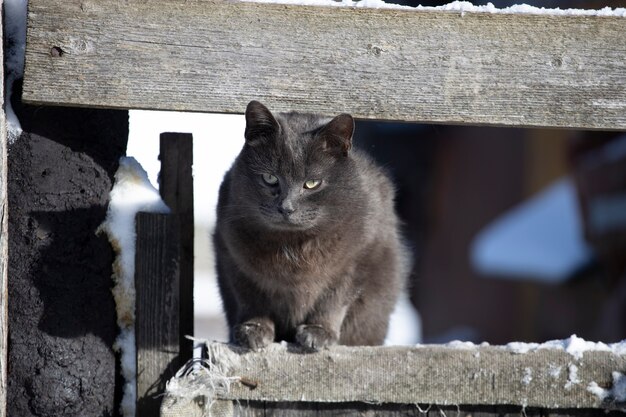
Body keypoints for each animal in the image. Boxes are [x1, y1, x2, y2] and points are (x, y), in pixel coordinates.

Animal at [214, 100, 410, 348]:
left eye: (312, 183)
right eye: (270, 178)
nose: (286, 207)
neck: (294, 246)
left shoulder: (360, 258)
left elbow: (334, 300)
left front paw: (318, 332)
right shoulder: (232, 257)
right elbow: (250, 298)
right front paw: (254, 329)